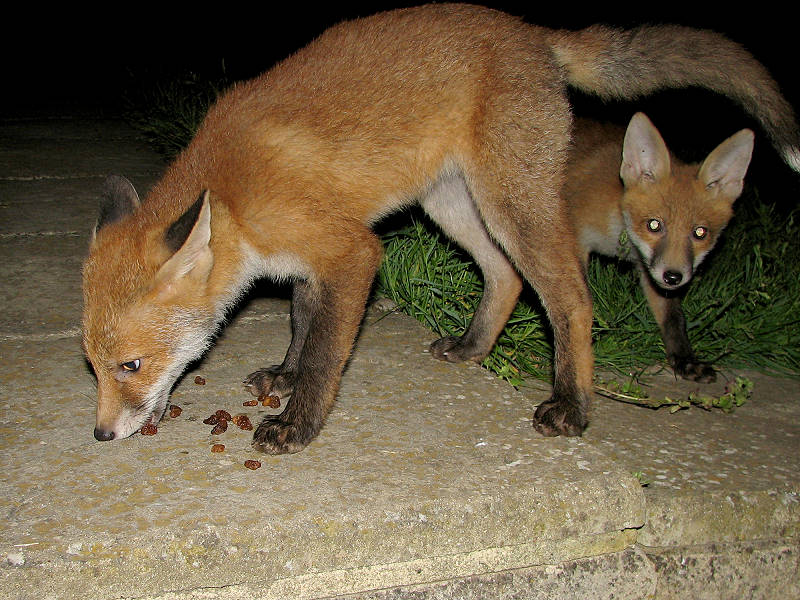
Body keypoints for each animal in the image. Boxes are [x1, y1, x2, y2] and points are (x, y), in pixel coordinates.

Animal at [566, 112, 754, 383]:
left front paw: (685, 360)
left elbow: (673, 318)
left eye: (700, 233)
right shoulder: (577, 241)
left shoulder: (651, 268)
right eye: (654, 225)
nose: (673, 277)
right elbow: (579, 296)